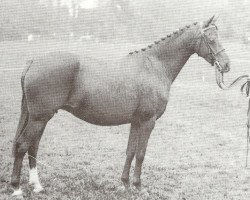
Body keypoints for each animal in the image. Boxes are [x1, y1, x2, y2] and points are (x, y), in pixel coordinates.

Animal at [11, 16, 230, 198]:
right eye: (210, 38)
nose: (226, 65)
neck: (155, 66)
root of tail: (33, 61)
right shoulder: (148, 122)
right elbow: (141, 154)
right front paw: (139, 187)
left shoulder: (136, 121)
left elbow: (130, 151)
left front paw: (124, 184)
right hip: (40, 118)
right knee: (23, 145)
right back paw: (17, 188)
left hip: (38, 117)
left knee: (32, 146)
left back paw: (37, 186)